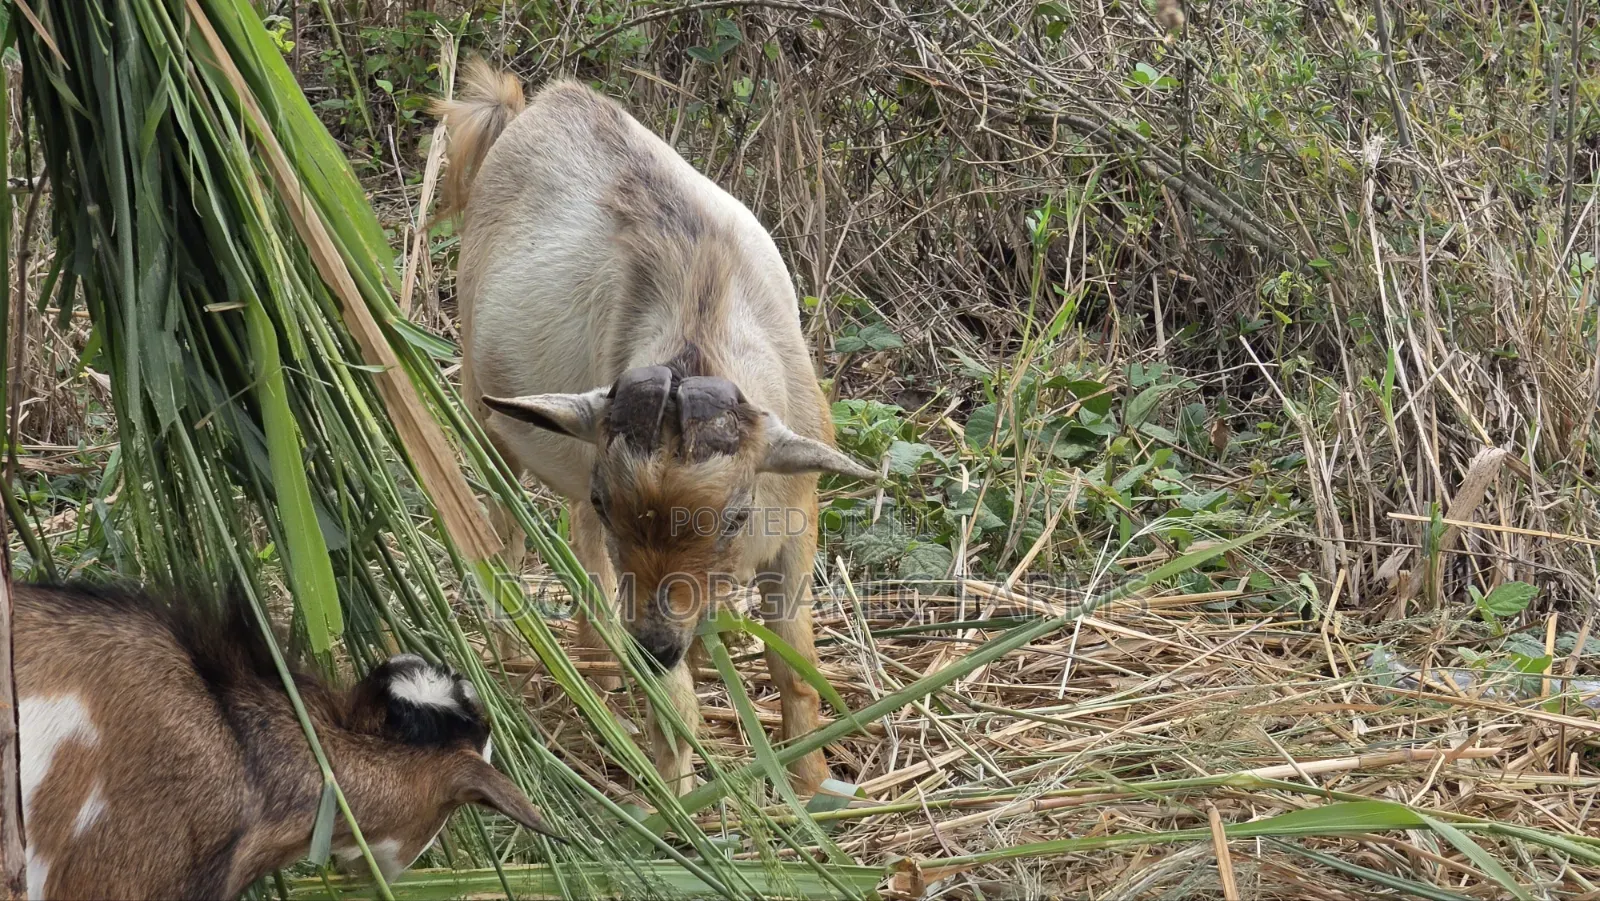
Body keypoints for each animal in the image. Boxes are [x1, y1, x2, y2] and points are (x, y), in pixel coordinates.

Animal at [432, 61, 875, 796]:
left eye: (735, 515)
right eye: (618, 504)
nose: (653, 646)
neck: (703, 296)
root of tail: (540, 104)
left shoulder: (794, 522)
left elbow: (795, 664)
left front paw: (811, 785)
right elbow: (677, 705)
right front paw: (674, 799)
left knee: (576, 537)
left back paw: (601, 656)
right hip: (484, 411)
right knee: (503, 529)